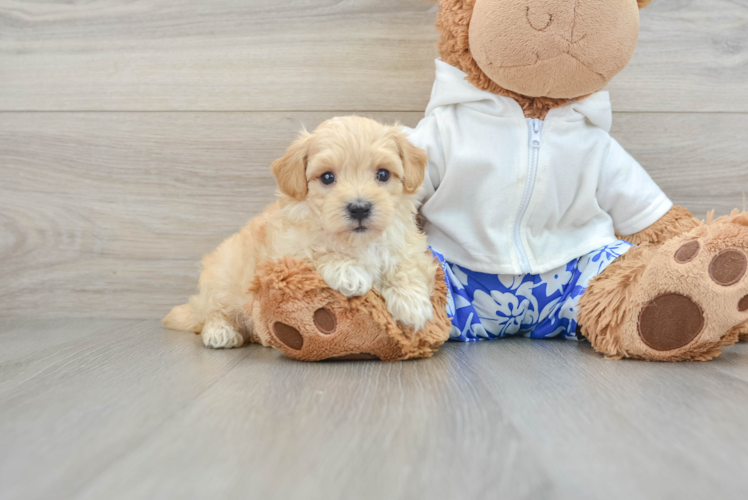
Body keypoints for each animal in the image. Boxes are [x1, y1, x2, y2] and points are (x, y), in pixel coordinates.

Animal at [161, 115, 436, 348]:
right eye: (327, 177)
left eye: (383, 174)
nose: (359, 208)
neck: (357, 242)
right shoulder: (285, 252)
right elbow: (316, 249)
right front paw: (347, 270)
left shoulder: (407, 242)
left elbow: (406, 263)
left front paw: (412, 303)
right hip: (224, 279)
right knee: (212, 312)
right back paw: (220, 332)